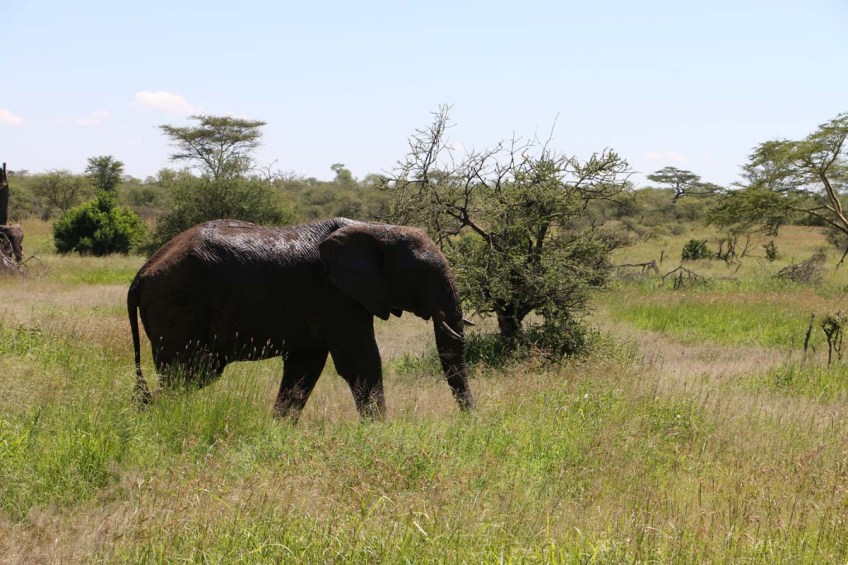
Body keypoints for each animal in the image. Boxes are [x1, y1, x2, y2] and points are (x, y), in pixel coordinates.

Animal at [127, 218, 475, 420]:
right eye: (421, 276)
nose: (471, 423)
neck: (375, 229)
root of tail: (141, 274)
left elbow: (304, 368)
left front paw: (279, 430)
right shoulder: (334, 296)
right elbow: (361, 363)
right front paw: (378, 433)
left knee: (190, 375)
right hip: (178, 305)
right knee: (184, 373)